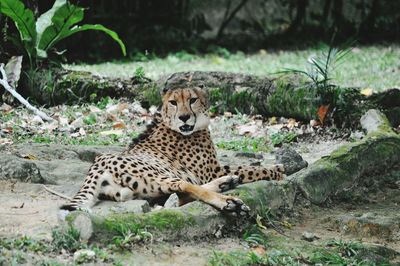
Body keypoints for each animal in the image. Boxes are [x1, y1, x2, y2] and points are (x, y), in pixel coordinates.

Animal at [59, 87, 286, 216]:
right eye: (173, 102)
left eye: (192, 100)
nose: (184, 117)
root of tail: (98, 161)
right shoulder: (212, 170)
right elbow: (251, 169)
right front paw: (277, 170)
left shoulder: (214, 169)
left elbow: (244, 168)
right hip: (159, 173)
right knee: (185, 187)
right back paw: (229, 202)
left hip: (137, 190)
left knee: (175, 197)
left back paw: (226, 184)